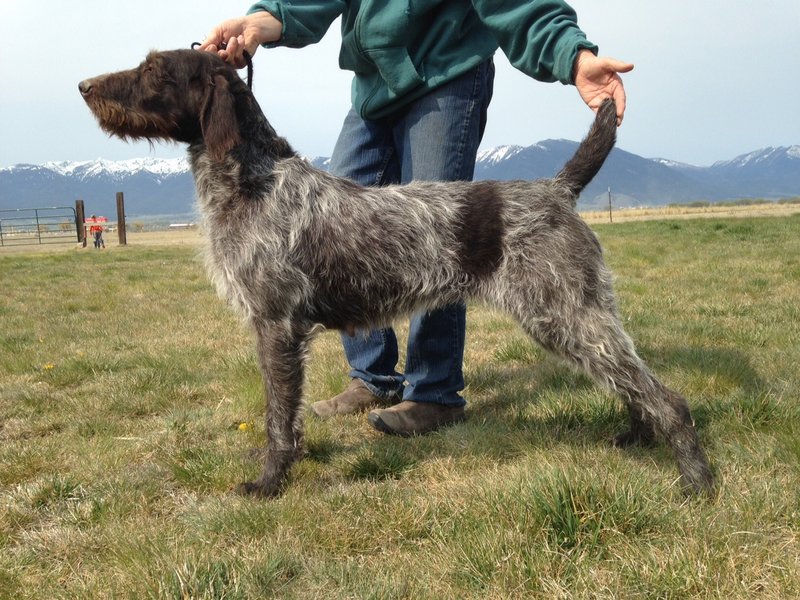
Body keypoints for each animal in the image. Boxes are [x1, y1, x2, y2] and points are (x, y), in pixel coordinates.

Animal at [81, 50, 716, 496]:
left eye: (154, 68)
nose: (84, 86)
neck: (250, 176)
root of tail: (555, 190)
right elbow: (286, 413)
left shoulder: (276, 325)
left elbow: (278, 420)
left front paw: (269, 483)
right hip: (579, 317)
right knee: (631, 380)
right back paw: (636, 438)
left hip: (563, 314)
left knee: (666, 397)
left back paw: (696, 479)